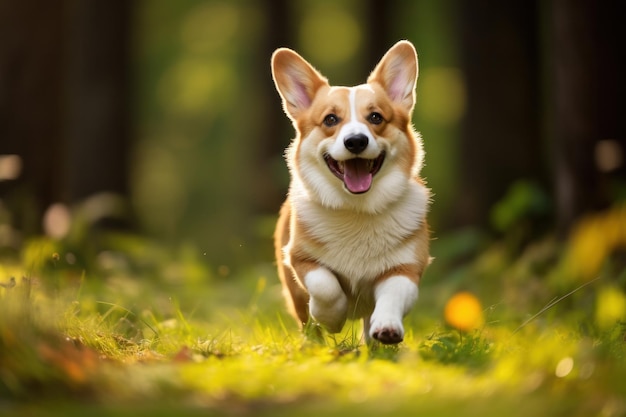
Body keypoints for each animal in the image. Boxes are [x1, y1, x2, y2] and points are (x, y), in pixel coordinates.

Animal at [270, 40, 426, 342]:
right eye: (331, 119)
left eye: (376, 117)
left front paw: (387, 327)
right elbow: (325, 287)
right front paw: (332, 317)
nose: (355, 141)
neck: (357, 210)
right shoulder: (300, 258)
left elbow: (393, 295)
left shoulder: (406, 268)